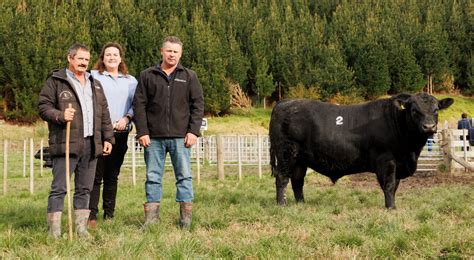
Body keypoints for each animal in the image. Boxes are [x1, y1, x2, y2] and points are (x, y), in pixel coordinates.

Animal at [268, 93, 454, 209]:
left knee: (297, 181)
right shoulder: (386, 160)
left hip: (300, 160)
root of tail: (285, 102)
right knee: (282, 179)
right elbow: (389, 185)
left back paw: (301, 203)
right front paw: (391, 207)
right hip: (286, 154)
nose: (429, 127)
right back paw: (281, 204)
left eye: (436, 110)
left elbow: (394, 186)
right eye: (414, 110)